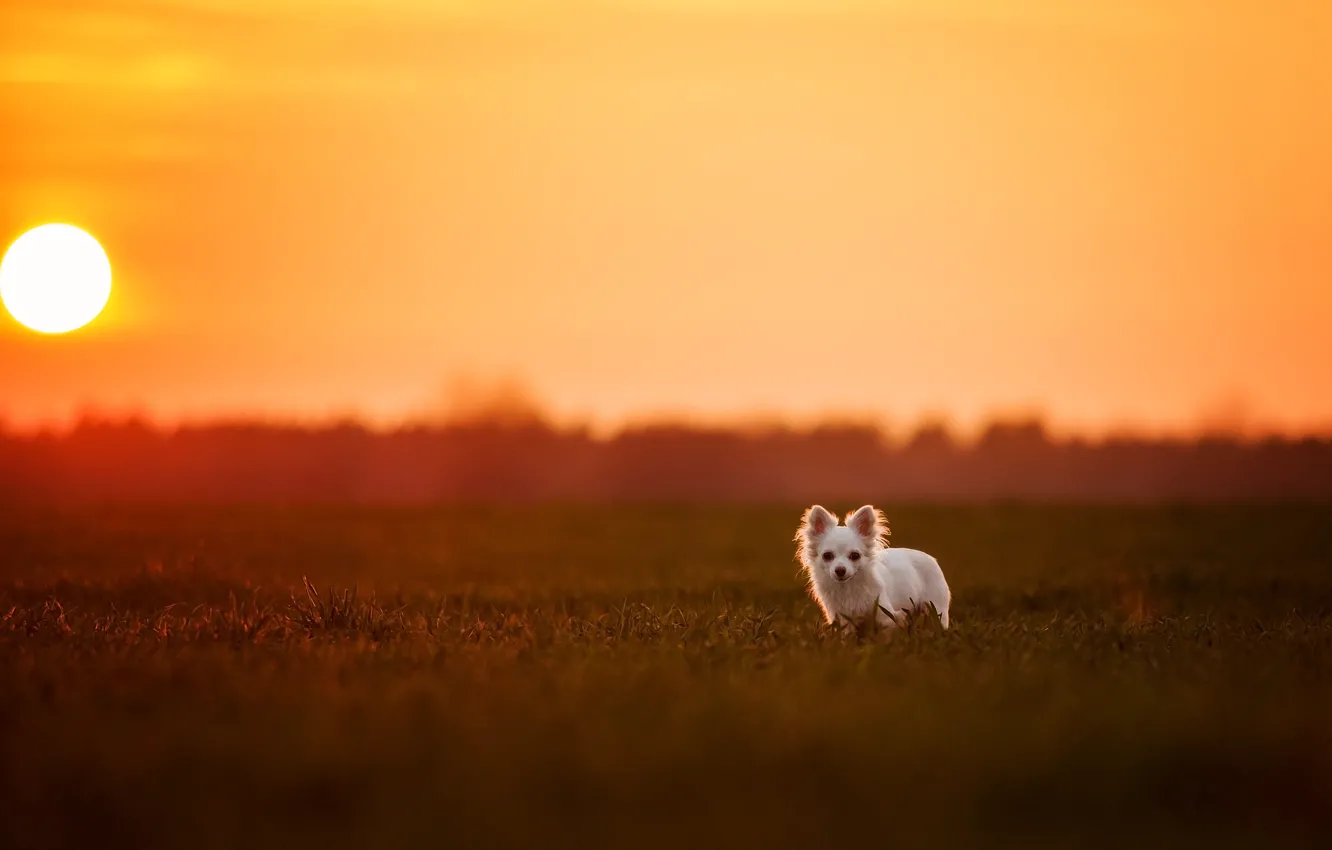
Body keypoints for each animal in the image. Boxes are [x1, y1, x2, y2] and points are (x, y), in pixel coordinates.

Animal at [793, 506, 953, 634]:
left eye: (855, 556)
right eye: (827, 556)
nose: (840, 570)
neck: (848, 588)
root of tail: (930, 557)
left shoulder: (886, 616)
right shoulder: (843, 620)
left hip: (935, 608)